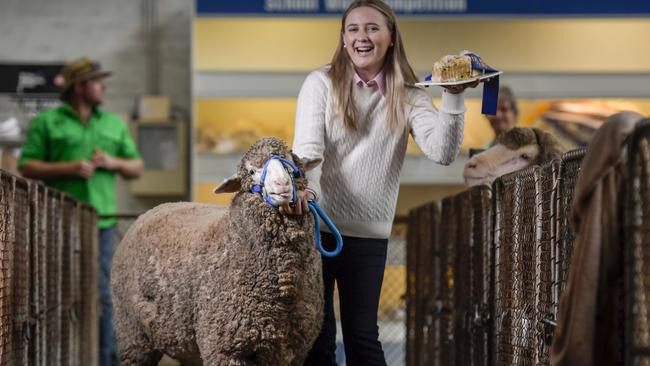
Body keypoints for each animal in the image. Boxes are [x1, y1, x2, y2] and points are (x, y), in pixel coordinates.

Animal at [111, 137, 326, 366]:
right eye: (251, 171)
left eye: (291, 164)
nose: (282, 185)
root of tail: (151, 211)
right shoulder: (225, 347)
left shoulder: (292, 351)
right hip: (133, 334)